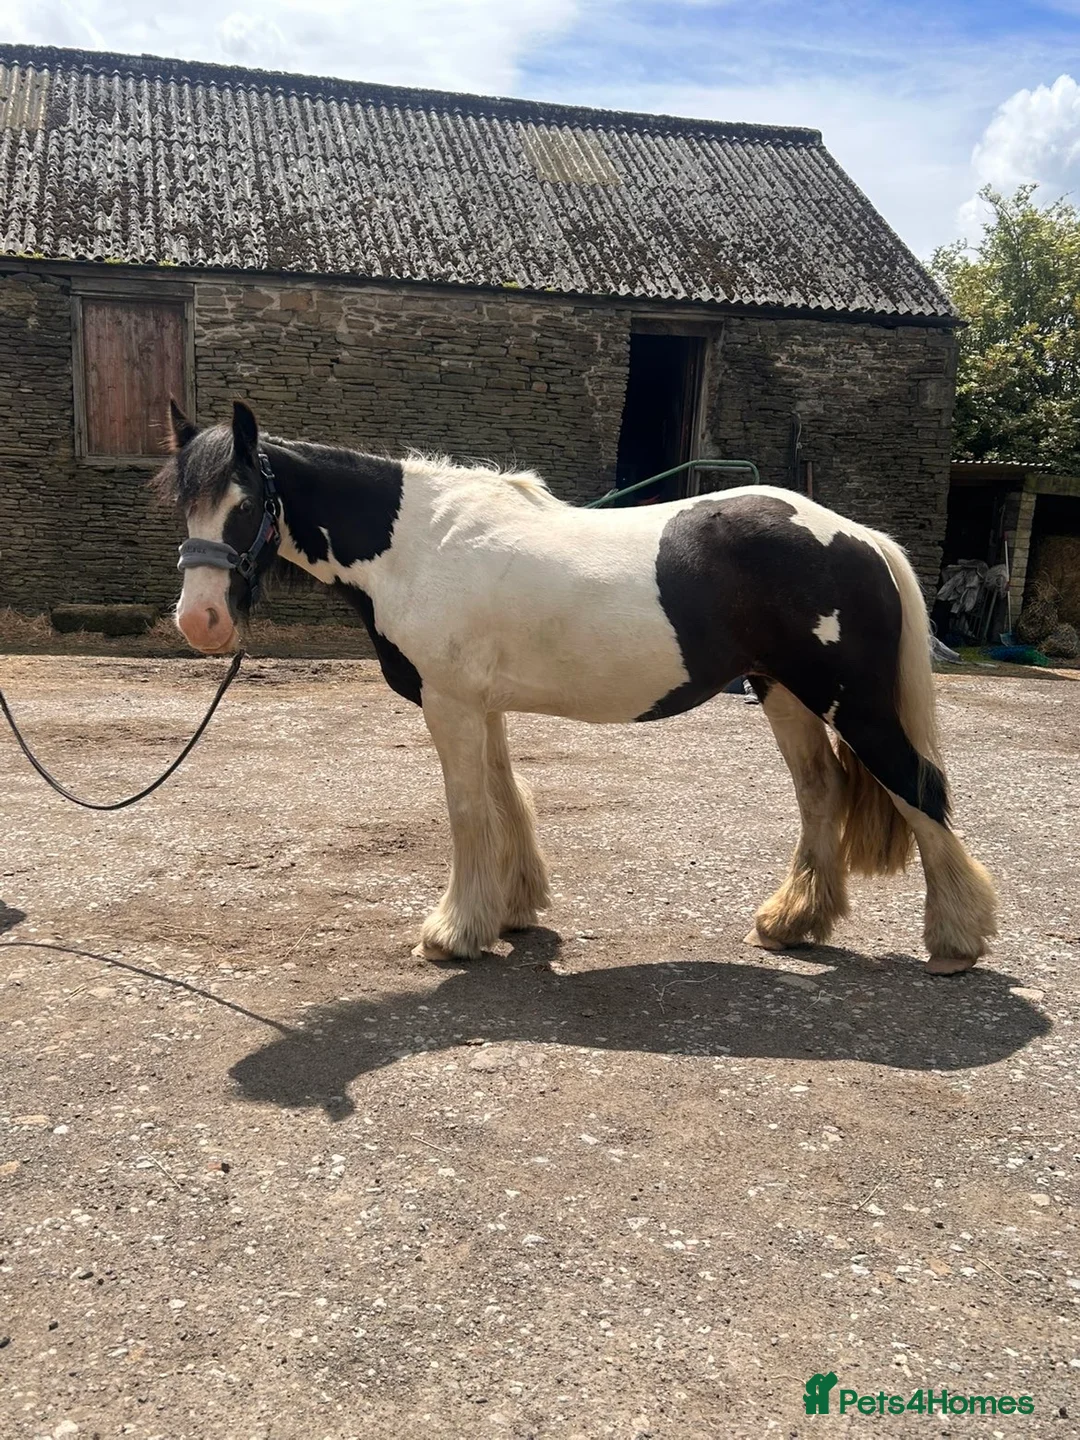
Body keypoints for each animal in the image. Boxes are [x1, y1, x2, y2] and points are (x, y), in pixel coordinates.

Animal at [158, 400, 997, 976]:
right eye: (183, 504)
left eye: (247, 504)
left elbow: (468, 811)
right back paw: (792, 922)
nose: (200, 620)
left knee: (919, 789)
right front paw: (510, 913)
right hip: (783, 691)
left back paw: (956, 940)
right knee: (821, 791)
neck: (414, 544)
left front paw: (452, 934)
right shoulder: (481, 705)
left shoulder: (450, 704)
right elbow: (506, 800)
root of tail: (861, 537)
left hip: (852, 702)